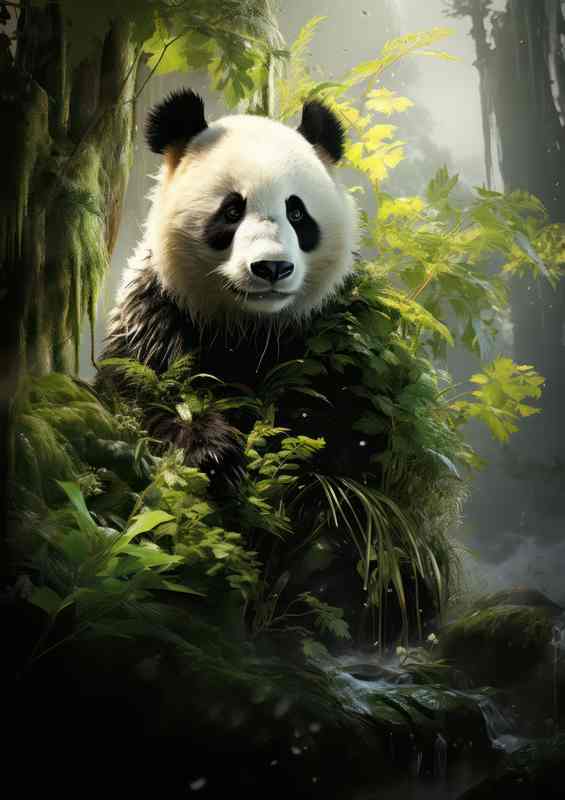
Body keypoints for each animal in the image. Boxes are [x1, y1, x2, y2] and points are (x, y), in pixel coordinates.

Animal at [98, 89, 363, 492]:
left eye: (297, 213)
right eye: (232, 211)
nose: (272, 267)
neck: (248, 325)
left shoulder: (330, 335)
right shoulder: (156, 315)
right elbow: (148, 393)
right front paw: (215, 454)